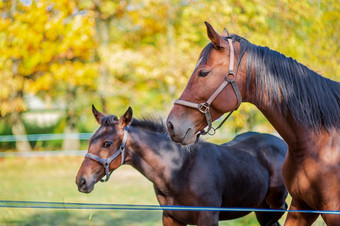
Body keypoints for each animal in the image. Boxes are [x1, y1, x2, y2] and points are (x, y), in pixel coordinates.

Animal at [76, 106, 286, 226]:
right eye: (90, 140)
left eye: (107, 143)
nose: (81, 181)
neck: (179, 170)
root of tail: (282, 143)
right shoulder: (171, 218)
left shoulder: (208, 218)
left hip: (275, 204)